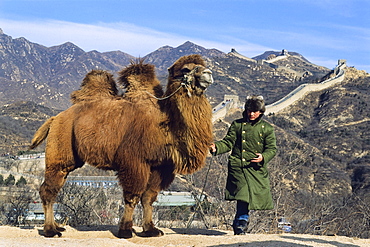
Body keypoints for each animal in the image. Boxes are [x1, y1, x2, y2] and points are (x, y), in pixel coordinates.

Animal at [29, 55, 214, 238]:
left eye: (202, 64)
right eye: (186, 69)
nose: (208, 73)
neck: (164, 123)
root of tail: (54, 118)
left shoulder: (160, 167)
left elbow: (149, 198)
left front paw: (151, 230)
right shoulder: (134, 161)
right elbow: (132, 197)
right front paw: (125, 231)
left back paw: (57, 227)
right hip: (60, 146)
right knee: (48, 190)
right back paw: (50, 230)